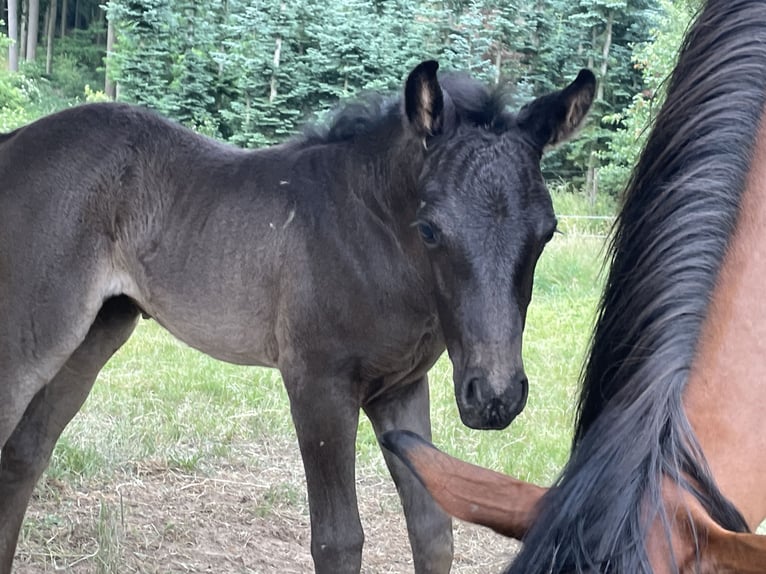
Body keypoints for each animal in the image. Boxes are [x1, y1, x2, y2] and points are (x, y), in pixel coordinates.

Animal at [0, 60, 596, 572]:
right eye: (430, 230)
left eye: (547, 232)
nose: (495, 396)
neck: (369, 234)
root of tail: (15, 141)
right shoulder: (318, 385)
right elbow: (338, 539)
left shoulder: (401, 388)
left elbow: (433, 529)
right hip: (31, 335)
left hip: (96, 333)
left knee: (25, 455)